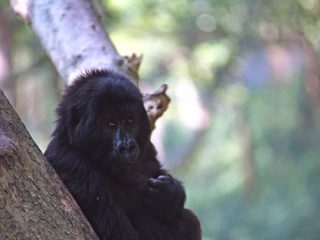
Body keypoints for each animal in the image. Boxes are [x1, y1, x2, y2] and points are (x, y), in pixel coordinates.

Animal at [44, 71, 200, 240]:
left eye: (130, 121)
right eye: (111, 123)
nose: (127, 147)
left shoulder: (146, 147)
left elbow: (158, 172)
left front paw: (170, 195)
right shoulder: (72, 164)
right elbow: (119, 232)